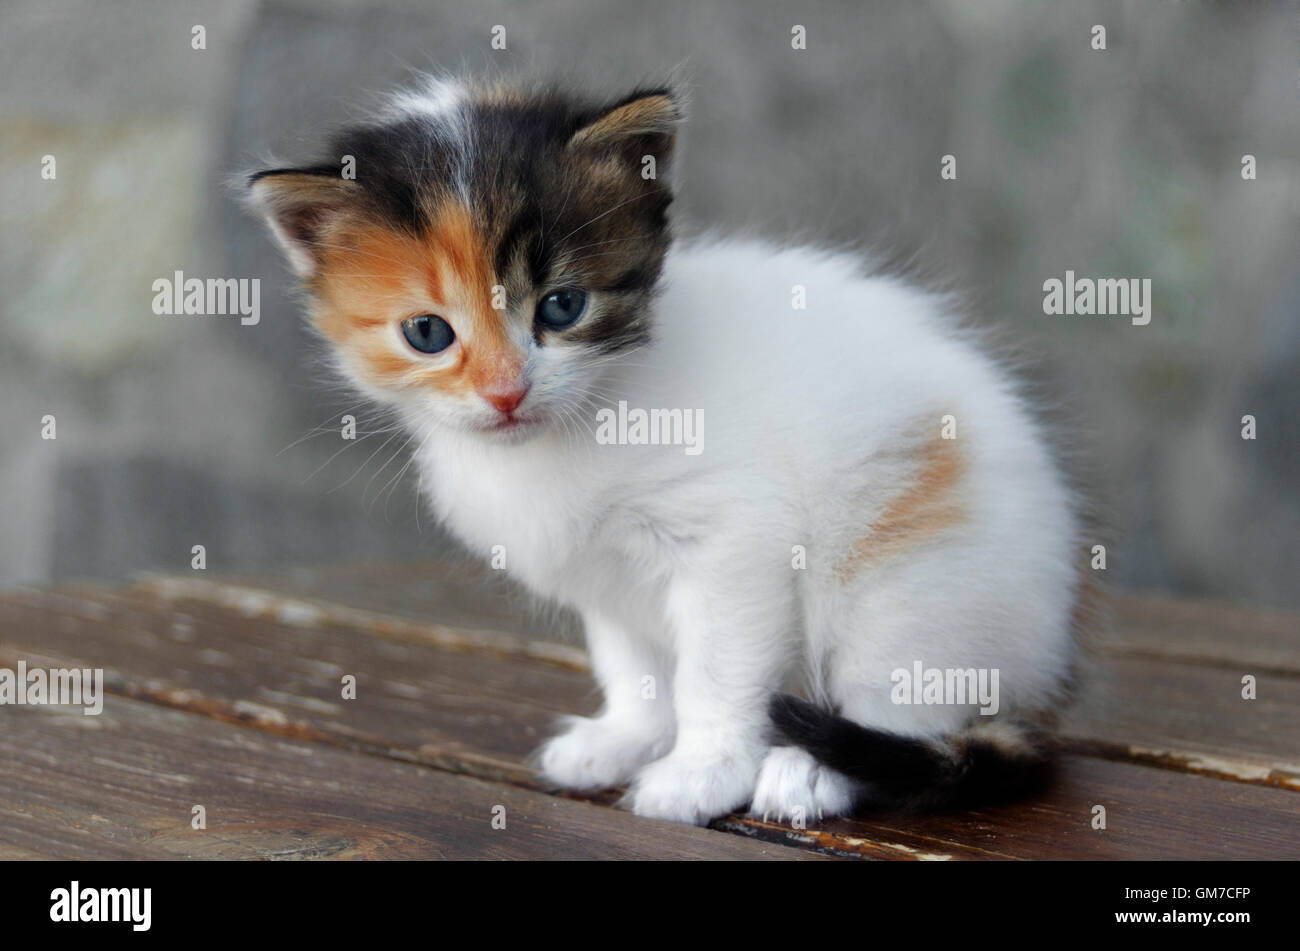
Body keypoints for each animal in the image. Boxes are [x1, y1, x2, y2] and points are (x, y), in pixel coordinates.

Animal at [244, 77, 1076, 826]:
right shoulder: (604, 574)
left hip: (907, 570)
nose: (507, 391)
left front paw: (702, 773)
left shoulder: (734, 543)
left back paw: (814, 771)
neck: (569, 430)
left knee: (902, 695)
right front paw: (626, 740)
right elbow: (634, 665)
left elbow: (715, 668)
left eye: (562, 307)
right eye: (427, 332)